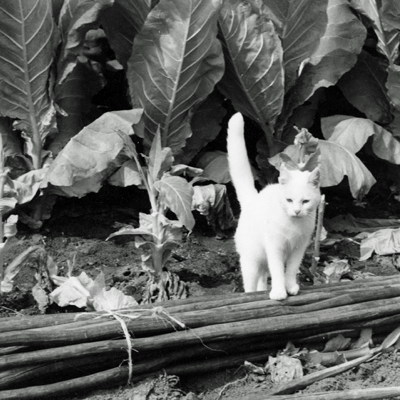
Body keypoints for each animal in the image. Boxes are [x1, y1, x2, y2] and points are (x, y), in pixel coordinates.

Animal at [227, 112, 320, 300]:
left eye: (305, 201)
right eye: (289, 200)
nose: (297, 211)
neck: (293, 224)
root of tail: (253, 199)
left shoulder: (298, 249)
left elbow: (291, 270)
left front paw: (290, 287)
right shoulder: (274, 247)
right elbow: (277, 271)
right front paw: (278, 292)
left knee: (263, 277)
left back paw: (262, 289)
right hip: (252, 259)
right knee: (250, 283)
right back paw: (252, 293)